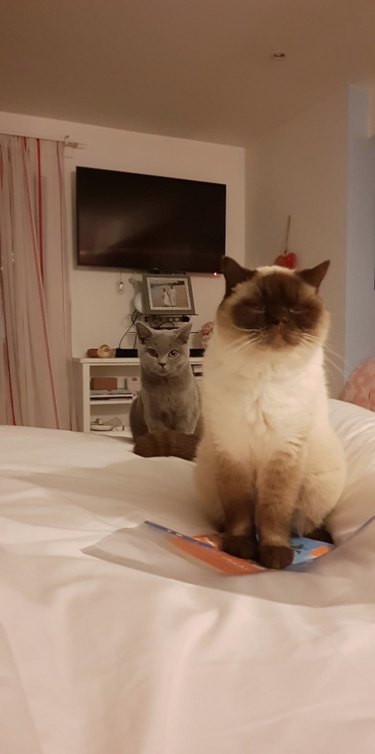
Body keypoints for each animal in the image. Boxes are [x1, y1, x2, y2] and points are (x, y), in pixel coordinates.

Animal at [195, 256, 348, 568]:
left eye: (295, 309)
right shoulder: (233, 452)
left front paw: (275, 556)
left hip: (320, 484)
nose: (279, 319)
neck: (264, 373)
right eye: (259, 306)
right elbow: (240, 511)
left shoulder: (284, 454)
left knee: (303, 525)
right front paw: (239, 549)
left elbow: (273, 513)